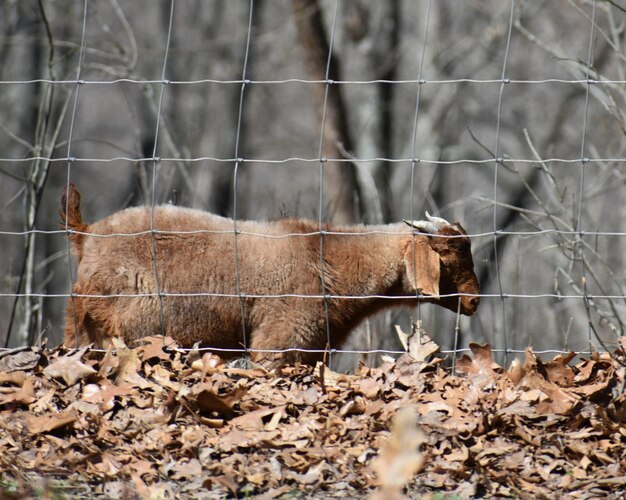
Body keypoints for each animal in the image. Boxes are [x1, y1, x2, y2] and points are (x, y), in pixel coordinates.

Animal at [62, 182, 478, 366]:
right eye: (448, 256)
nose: (474, 300)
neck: (331, 260)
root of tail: (86, 234)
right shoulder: (282, 340)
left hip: (81, 324)